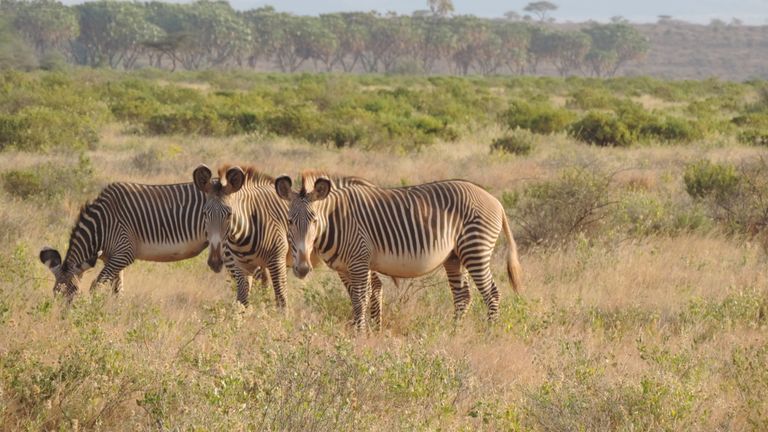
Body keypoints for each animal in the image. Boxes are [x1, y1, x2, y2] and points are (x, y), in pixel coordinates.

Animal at [39, 181, 255, 299]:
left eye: (73, 293)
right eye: (55, 295)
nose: (63, 321)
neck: (101, 225)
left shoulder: (124, 253)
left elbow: (96, 286)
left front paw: (94, 312)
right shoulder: (113, 258)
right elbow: (118, 289)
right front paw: (114, 313)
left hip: (229, 247)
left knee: (243, 282)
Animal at [275, 171, 522, 331]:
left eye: (314, 221)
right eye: (289, 221)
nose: (302, 268)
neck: (335, 222)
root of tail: (495, 200)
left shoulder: (359, 260)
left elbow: (361, 298)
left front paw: (359, 335)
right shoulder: (345, 268)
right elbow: (356, 298)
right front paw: (359, 329)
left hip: (475, 249)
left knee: (491, 293)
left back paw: (489, 333)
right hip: (454, 257)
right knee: (463, 296)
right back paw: (455, 332)